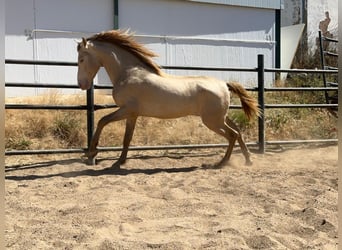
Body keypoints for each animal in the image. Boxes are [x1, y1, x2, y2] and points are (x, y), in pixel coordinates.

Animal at [77, 30, 260, 169]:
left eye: (81, 59)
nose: (81, 84)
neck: (128, 72)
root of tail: (224, 84)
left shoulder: (127, 109)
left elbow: (102, 120)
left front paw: (92, 153)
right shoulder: (132, 114)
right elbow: (127, 137)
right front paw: (119, 162)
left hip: (212, 121)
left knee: (232, 135)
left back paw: (221, 163)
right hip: (220, 117)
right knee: (238, 131)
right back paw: (248, 159)